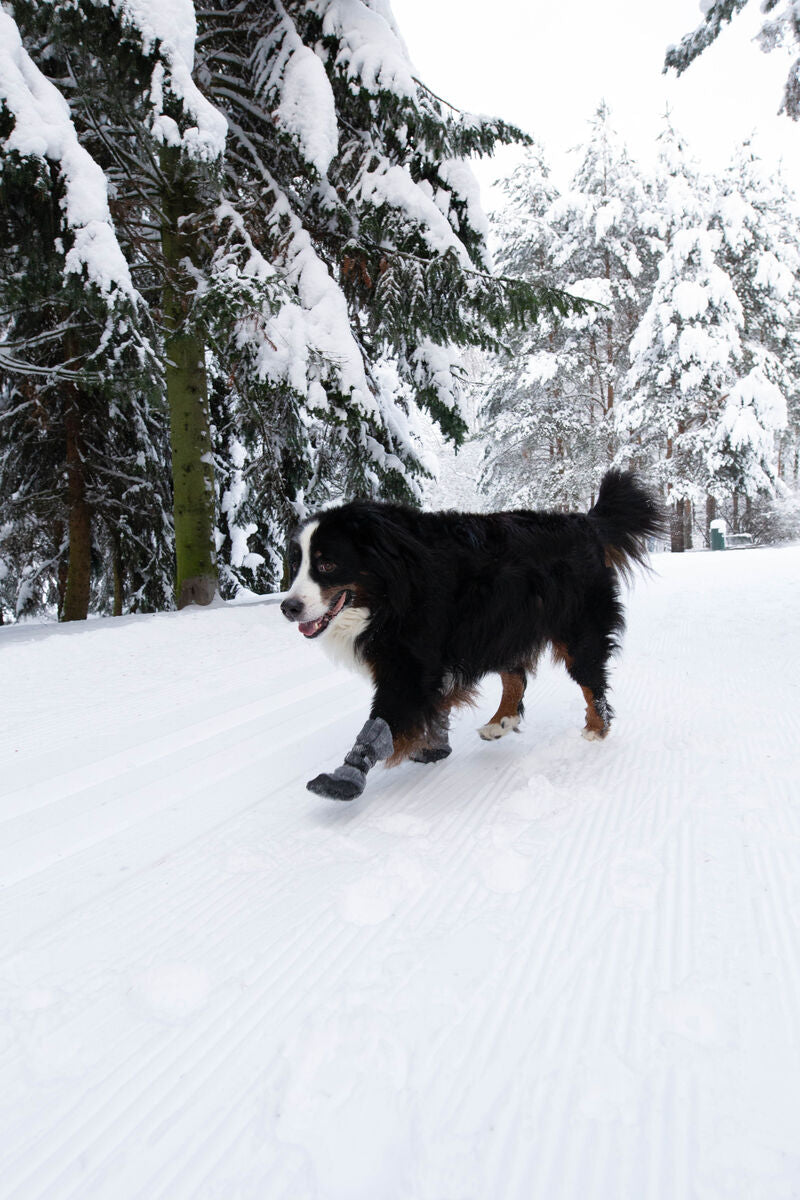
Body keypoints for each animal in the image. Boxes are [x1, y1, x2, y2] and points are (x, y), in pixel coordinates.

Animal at [280, 472, 662, 801]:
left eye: (327, 564)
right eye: (296, 565)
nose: (288, 607)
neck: (392, 585)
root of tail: (585, 523)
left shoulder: (410, 662)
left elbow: (383, 719)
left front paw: (346, 775)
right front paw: (433, 746)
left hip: (576, 626)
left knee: (590, 677)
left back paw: (596, 727)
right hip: (504, 625)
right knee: (516, 676)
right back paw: (501, 722)